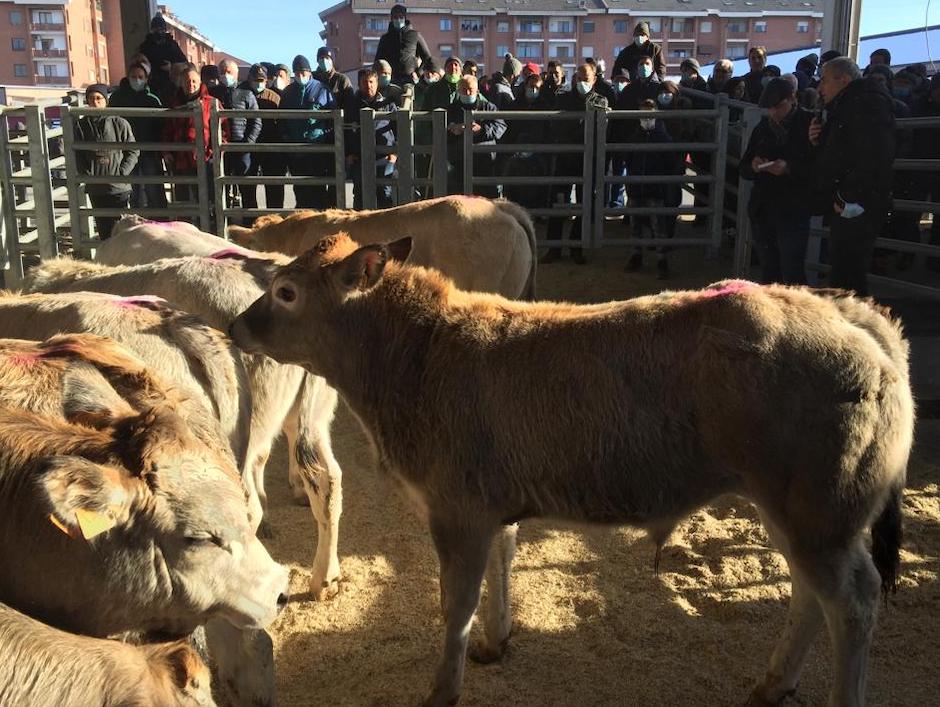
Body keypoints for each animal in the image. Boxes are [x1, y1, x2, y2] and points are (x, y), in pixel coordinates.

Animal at [231, 236, 916, 707]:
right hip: (792, 510)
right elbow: (501, 566)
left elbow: (456, 601)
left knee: (852, 601)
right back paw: (773, 683)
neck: (419, 354)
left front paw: (442, 687)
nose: (236, 324)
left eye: (286, 291)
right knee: (807, 594)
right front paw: (495, 641)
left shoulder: (457, 511)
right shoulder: (493, 504)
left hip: (821, 512)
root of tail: (849, 313)